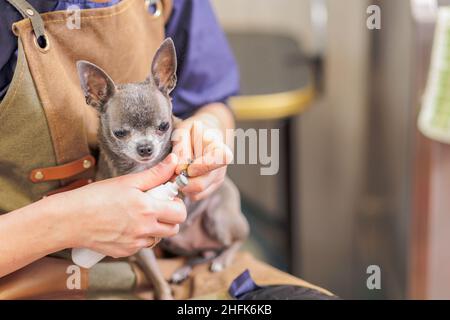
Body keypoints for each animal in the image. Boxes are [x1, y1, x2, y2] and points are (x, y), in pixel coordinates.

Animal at [75, 38, 248, 298]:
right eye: (120, 133)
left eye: (164, 126)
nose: (145, 148)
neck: (139, 168)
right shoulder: (141, 239)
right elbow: (155, 275)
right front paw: (164, 291)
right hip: (178, 243)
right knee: (200, 255)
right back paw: (183, 270)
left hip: (218, 218)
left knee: (237, 240)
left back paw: (222, 260)